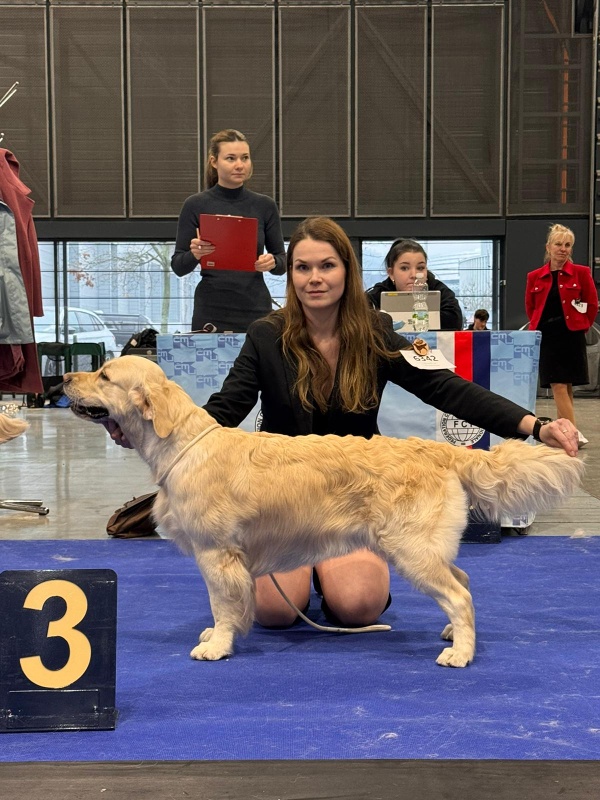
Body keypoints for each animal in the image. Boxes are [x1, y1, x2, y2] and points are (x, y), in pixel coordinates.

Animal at [63, 356, 584, 667]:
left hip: (411, 548)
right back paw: (451, 634)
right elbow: (224, 607)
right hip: (426, 547)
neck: (181, 445)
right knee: (464, 582)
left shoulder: (217, 554)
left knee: (459, 594)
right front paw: (217, 635)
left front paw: (217, 645)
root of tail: (438, 449)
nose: (66, 378)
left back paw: (461, 654)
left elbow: (223, 604)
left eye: (105, 376)